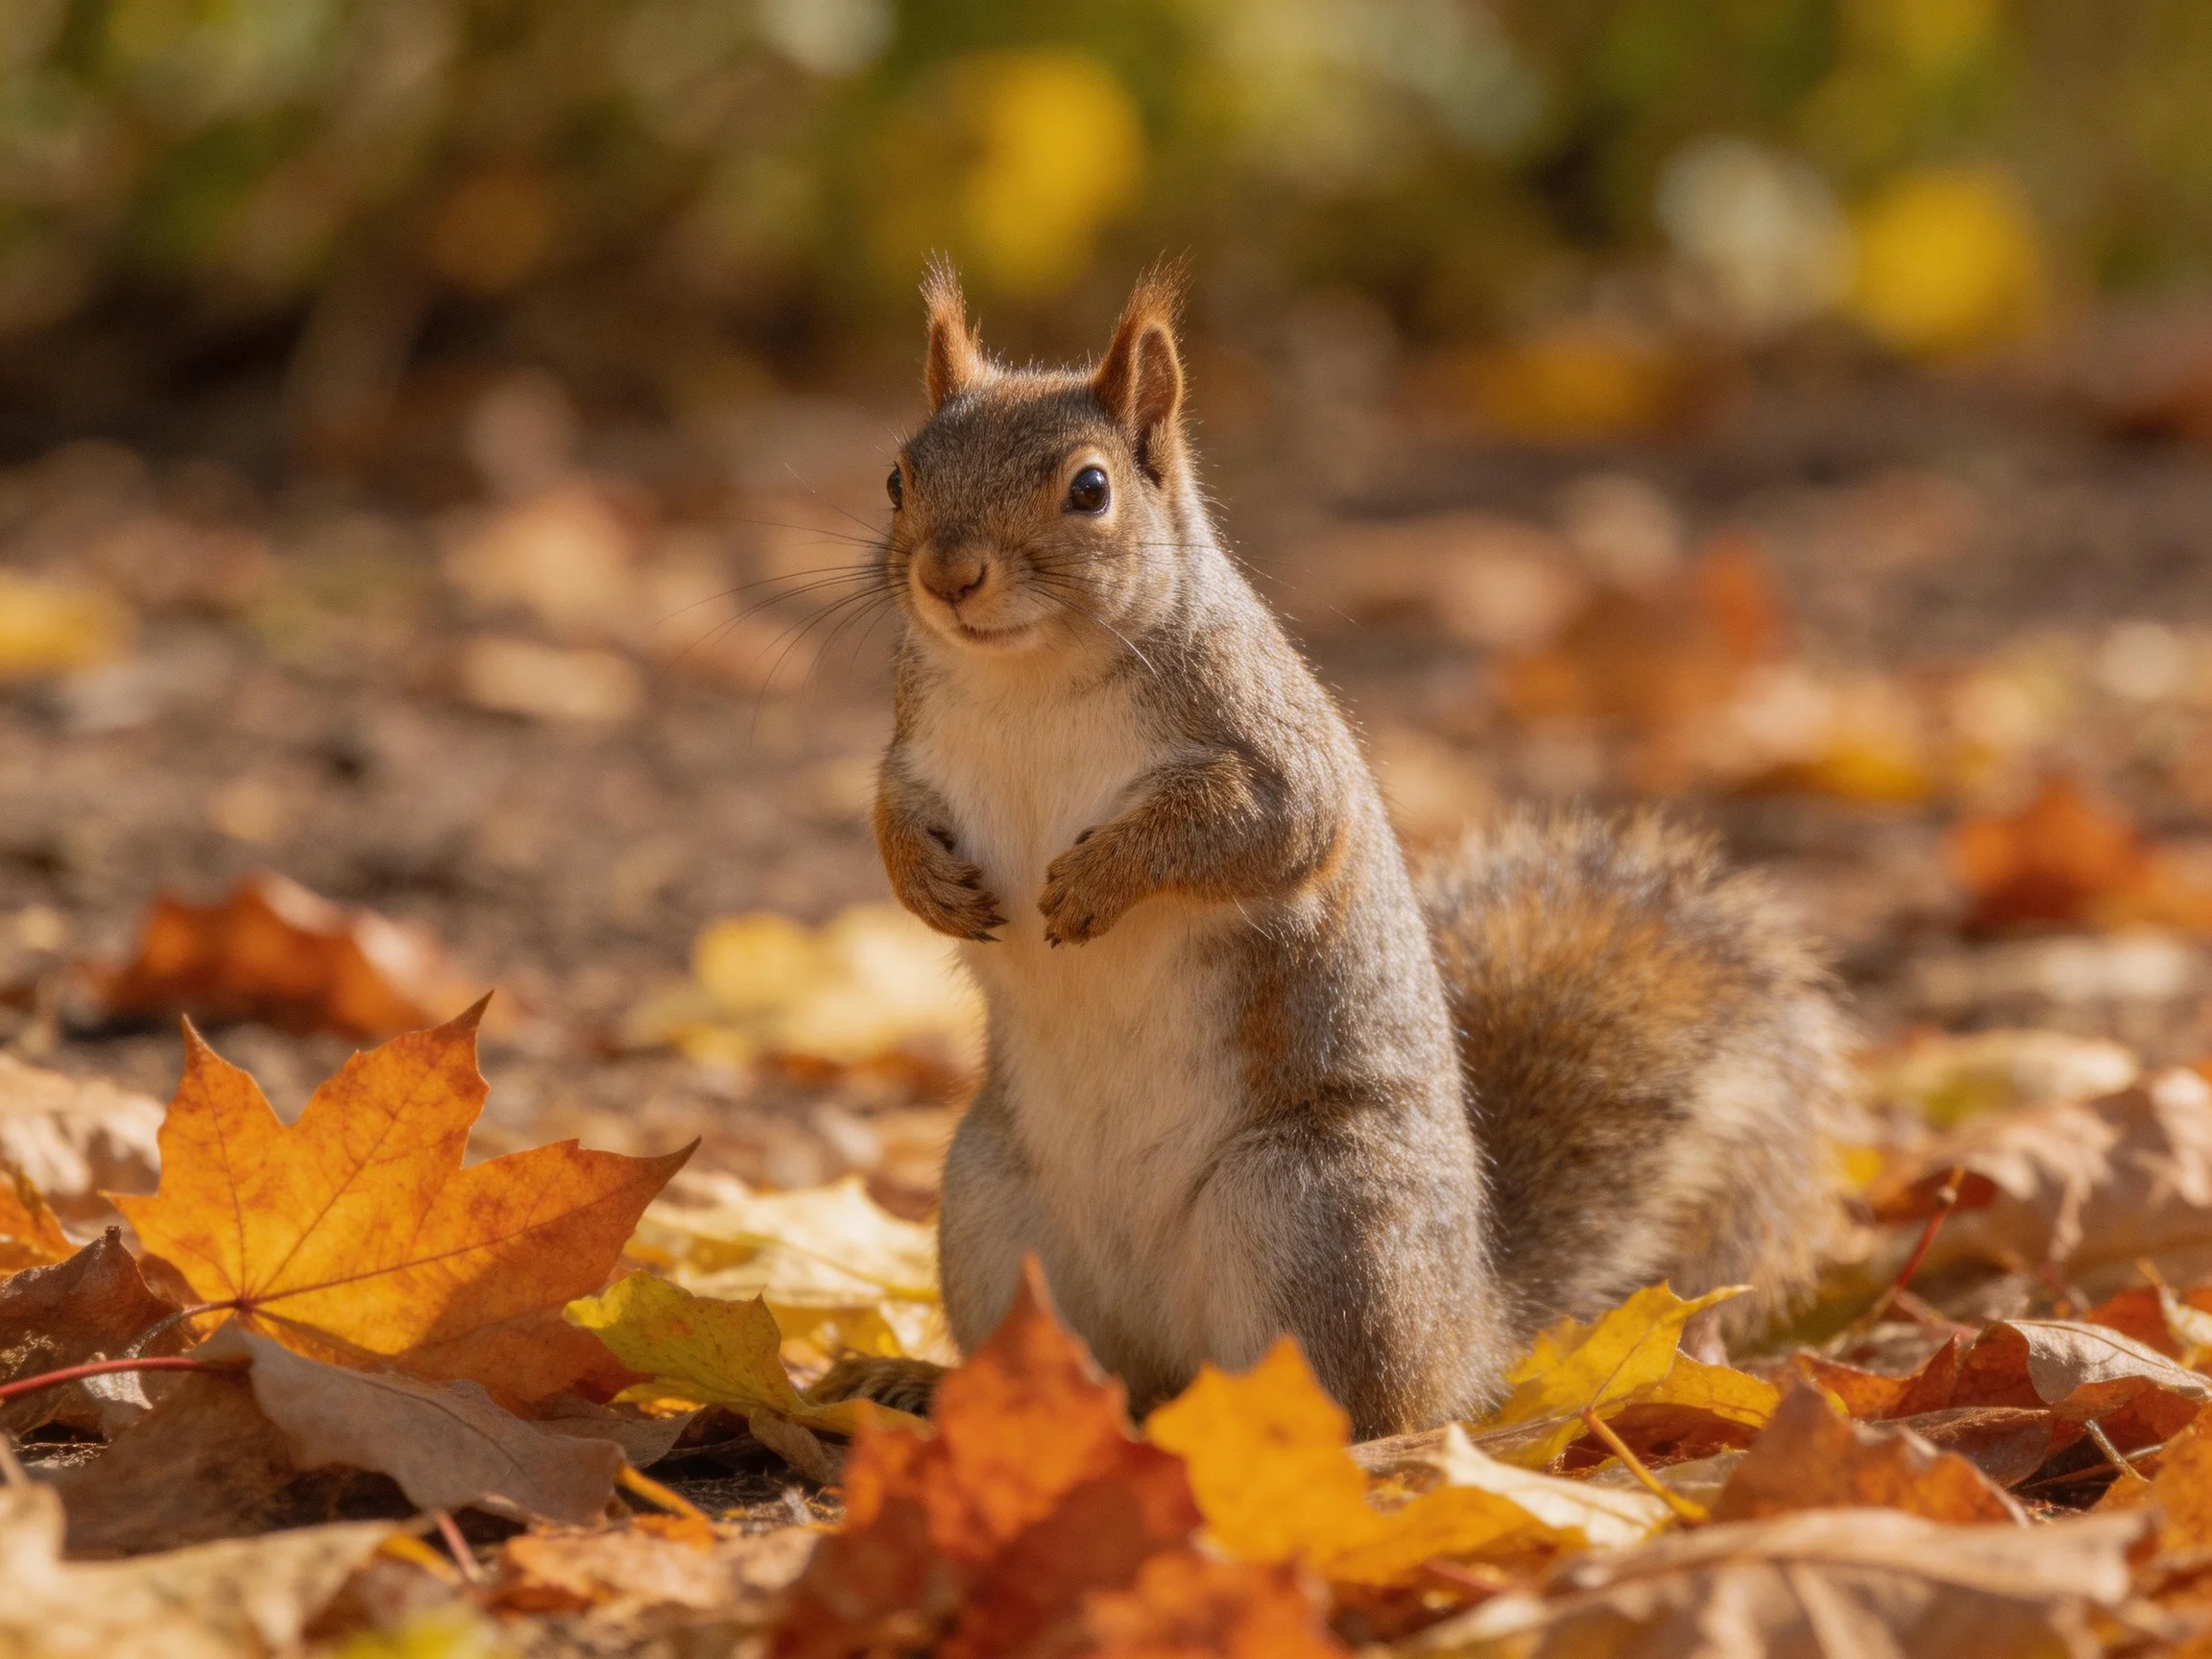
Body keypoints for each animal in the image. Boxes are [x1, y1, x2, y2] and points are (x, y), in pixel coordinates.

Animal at [812, 267, 1852, 1440]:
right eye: (898, 476)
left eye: (1089, 489)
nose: (949, 575)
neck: (1026, 680)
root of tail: (1468, 1335)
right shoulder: (916, 746)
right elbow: (891, 811)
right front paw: (927, 885)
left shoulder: (1275, 758)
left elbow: (1251, 830)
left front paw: (1095, 882)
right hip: (991, 1207)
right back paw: (932, 1389)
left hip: (1313, 1217)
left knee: (1365, 1406)